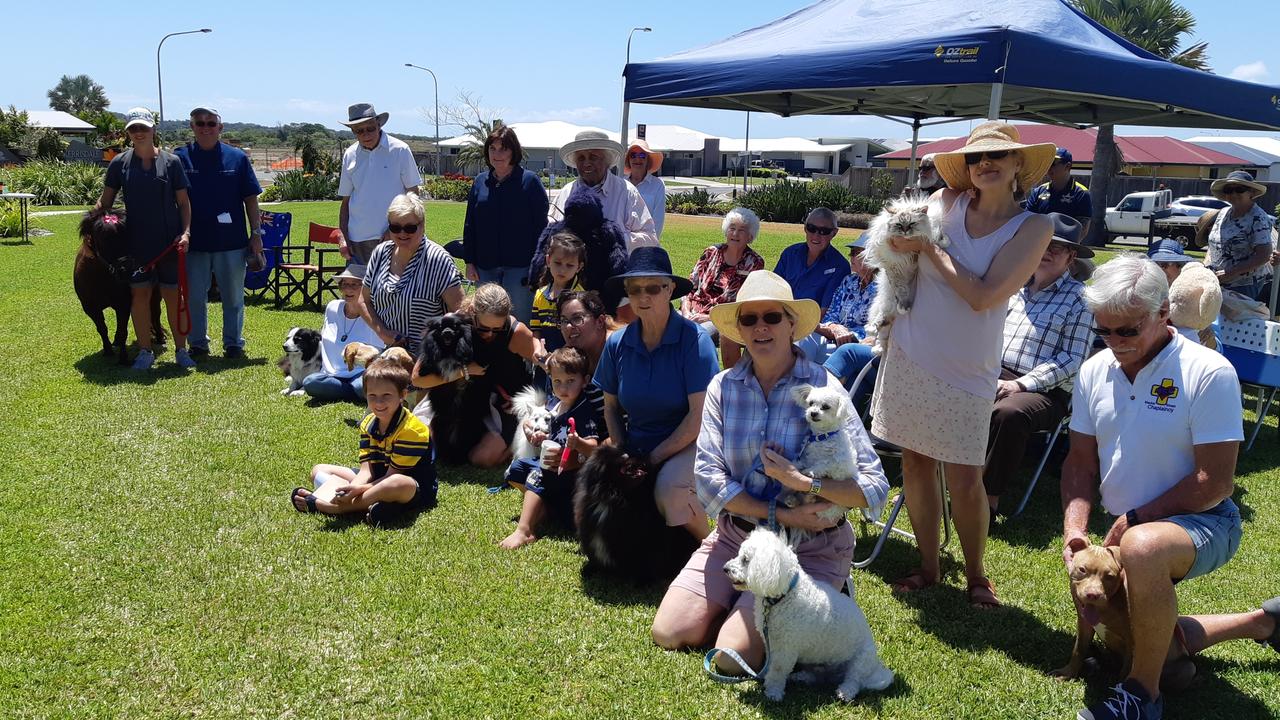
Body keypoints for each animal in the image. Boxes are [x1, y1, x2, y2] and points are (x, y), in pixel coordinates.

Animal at [73, 208, 163, 363]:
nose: (125, 270)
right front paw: (108, 350)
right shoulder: (91, 308)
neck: (101, 278)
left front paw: (123, 358)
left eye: (127, 236)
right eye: (102, 238)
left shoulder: (123, 304)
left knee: (156, 313)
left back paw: (160, 337)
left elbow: (122, 331)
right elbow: (102, 329)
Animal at [576, 443, 701, 584]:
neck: (615, 498)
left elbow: (647, 561)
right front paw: (589, 569)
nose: (643, 455)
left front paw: (643, 581)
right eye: (625, 455)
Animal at [727, 527, 896, 702]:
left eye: (746, 560)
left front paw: (773, 692)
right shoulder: (772, 642)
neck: (785, 595)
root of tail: (875, 668)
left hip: (862, 660)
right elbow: (771, 664)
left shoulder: (786, 648)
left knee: (854, 679)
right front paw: (765, 677)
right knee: (819, 676)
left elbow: (778, 671)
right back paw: (802, 677)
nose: (725, 568)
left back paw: (845, 692)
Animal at [860, 193, 952, 353]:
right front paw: (904, 307)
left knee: (884, 327)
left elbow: (937, 237)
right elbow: (901, 290)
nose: (904, 230)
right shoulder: (894, 268)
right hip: (887, 302)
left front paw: (945, 242)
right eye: (898, 225)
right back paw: (873, 335)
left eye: (912, 224)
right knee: (880, 324)